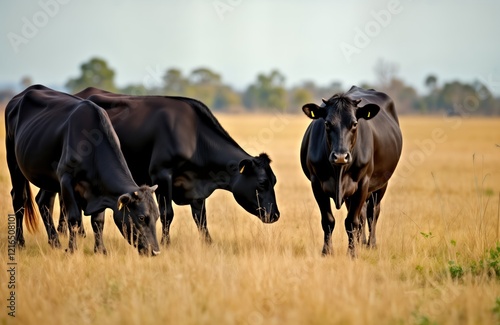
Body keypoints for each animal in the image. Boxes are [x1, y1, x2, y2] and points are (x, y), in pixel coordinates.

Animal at [6, 85, 162, 254]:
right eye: (141, 217)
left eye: (157, 216)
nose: (155, 251)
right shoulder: (66, 179)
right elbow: (74, 218)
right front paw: (72, 250)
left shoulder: (100, 189)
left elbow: (98, 221)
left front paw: (100, 250)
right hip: (13, 162)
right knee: (19, 200)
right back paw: (20, 243)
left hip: (47, 176)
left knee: (44, 201)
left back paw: (55, 242)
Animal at [38, 86, 282, 246]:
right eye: (262, 183)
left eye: (274, 181)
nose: (276, 215)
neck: (195, 138)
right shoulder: (161, 175)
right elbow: (167, 213)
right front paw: (166, 242)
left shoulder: (196, 185)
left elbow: (200, 217)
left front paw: (208, 242)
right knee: (47, 200)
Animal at [300, 85, 402, 256]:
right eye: (327, 123)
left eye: (354, 124)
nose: (340, 156)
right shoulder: (317, 183)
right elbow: (328, 220)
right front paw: (327, 252)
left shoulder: (363, 183)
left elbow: (351, 222)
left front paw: (352, 254)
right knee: (362, 215)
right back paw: (361, 242)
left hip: (381, 184)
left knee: (372, 213)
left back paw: (371, 244)